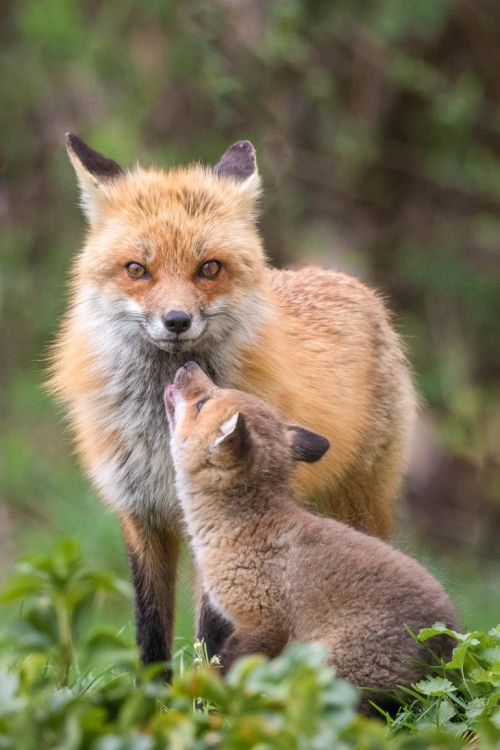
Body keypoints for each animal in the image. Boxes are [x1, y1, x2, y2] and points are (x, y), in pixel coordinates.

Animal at [49, 133, 417, 672]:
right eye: (138, 269)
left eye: (209, 268)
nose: (176, 321)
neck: (164, 436)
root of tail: (346, 280)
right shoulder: (141, 514)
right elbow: (150, 632)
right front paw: (153, 694)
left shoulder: (225, 525)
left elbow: (212, 632)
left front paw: (210, 692)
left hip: (358, 502)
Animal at [165, 361, 459, 710]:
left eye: (202, 403)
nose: (188, 364)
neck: (238, 526)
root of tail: (448, 644)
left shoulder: (264, 620)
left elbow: (230, 672)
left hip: (329, 673)